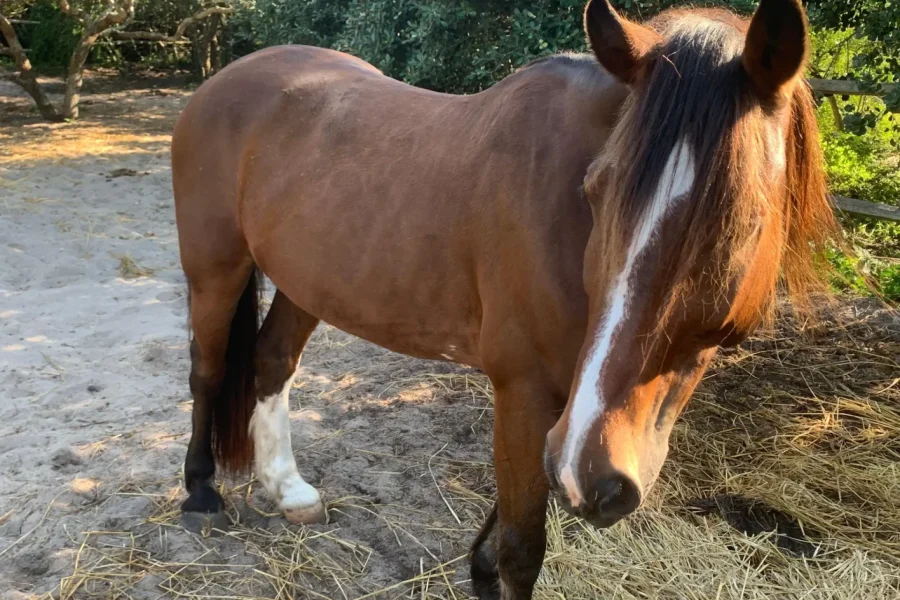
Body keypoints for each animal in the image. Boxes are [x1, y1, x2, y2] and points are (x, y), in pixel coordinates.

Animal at [171, 0, 835, 597]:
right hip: (216, 269)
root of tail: (224, 79)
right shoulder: (525, 391)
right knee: (208, 370)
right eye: (594, 190)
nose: (596, 473)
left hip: (305, 282)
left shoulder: (559, 410)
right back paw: (201, 493)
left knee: (271, 361)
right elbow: (521, 551)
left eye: (745, 220)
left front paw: (479, 569)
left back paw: (287, 489)